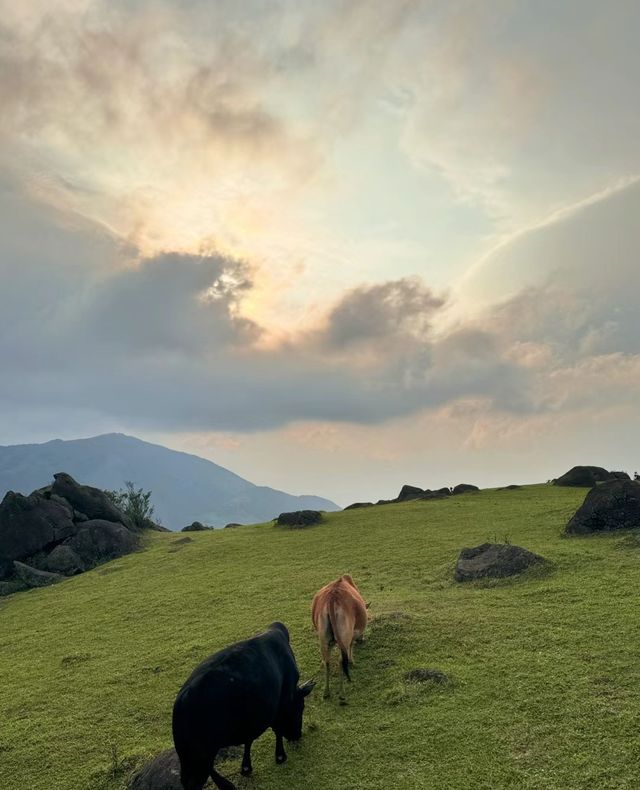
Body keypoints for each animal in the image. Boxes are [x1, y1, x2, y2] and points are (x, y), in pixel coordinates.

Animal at [172, 624, 316, 790]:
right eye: (301, 707)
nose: (297, 736)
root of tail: (183, 698)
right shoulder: (280, 705)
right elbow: (277, 730)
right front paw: (280, 756)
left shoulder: (250, 721)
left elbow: (249, 740)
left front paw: (246, 767)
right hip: (201, 756)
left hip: (191, 756)